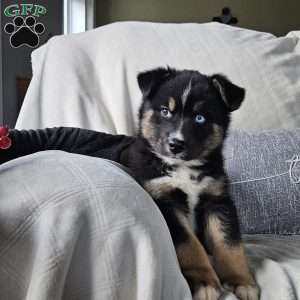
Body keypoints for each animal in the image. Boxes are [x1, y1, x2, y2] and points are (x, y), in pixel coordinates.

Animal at [0, 68, 258, 300]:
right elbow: (190, 245)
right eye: (165, 111)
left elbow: (229, 243)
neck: (181, 168)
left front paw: (241, 281)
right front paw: (205, 281)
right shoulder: (166, 201)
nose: (175, 144)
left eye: (200, 117)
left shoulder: (217, 198)